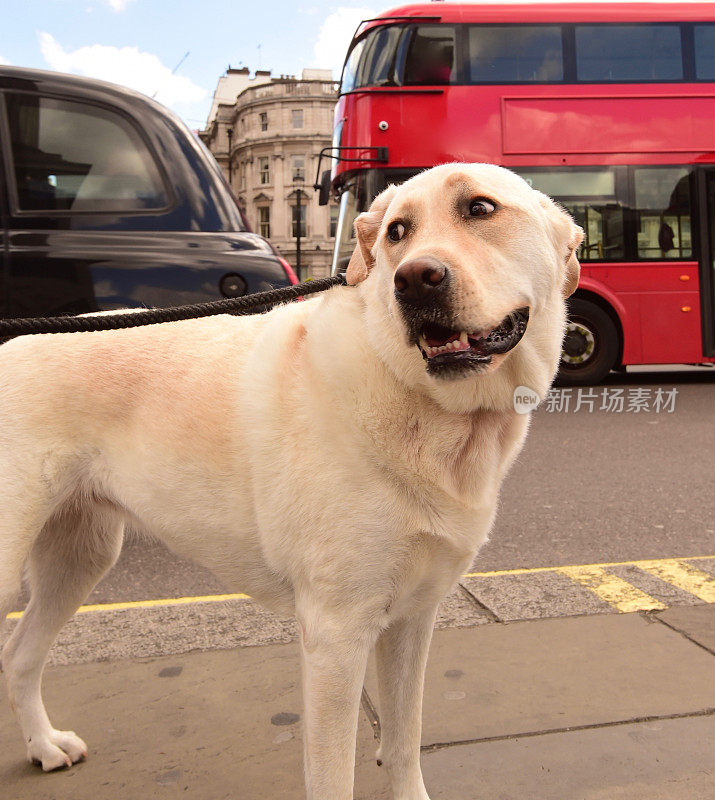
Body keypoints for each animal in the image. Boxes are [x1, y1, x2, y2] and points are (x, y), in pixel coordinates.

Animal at [1, 164, 580, 800]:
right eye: (397, 231)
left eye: (480, 208)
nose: (414, 280)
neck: (434, 413)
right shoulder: (335, 632)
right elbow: (333, 776)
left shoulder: (411, 619)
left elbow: (404, 741)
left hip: (79, 556)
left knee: (20, 654)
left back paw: (44, 747)